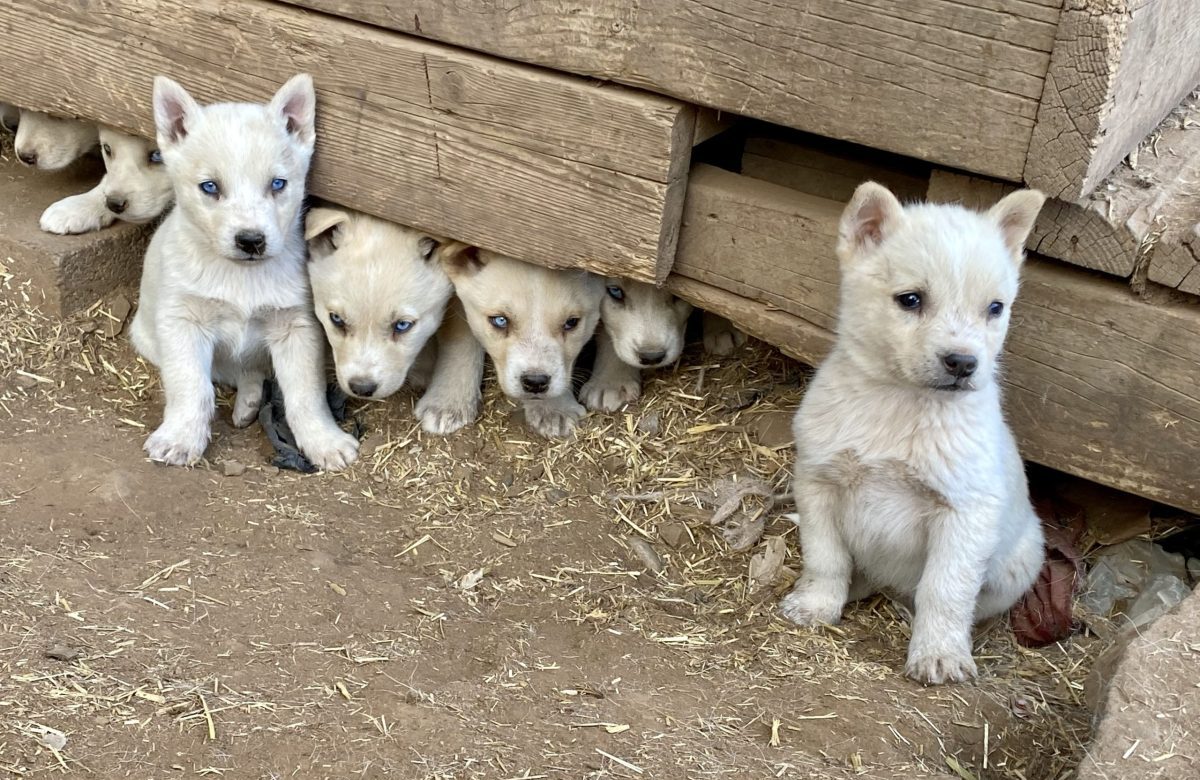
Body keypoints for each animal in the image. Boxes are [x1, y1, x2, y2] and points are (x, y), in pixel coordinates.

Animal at [130, 72, 357, 468]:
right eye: (210, 187)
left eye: (278, 184)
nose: (251, 241)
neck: (241, 277)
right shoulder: (182, 323)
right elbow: (191, 386)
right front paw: (180, 437)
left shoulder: (296, 327)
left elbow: (305, 395)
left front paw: (323, 440)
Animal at [782, 181, 1046, 681]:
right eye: (910, 299)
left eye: (995, 308)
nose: (963, 363)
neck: (901, 406)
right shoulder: (817, 482)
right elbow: (825, 557)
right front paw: (817, 605)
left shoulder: (966, 514)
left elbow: (945, 590)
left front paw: (939, 653)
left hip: (1019, 563)